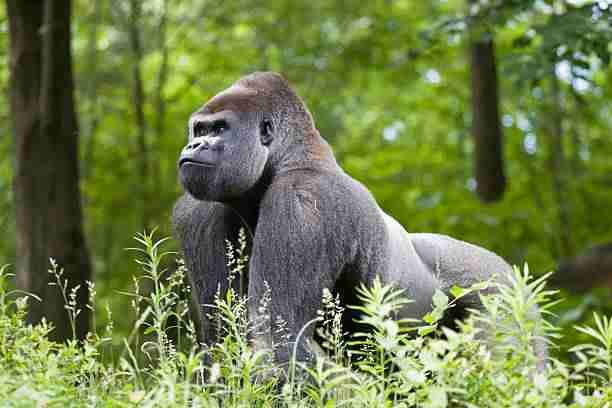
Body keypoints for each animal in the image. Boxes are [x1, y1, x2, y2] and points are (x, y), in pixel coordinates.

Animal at [171, 71, 544, 368]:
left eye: (220, 128)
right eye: (198, 129)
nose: (195, 145)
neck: (288, 157)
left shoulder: (303, 201)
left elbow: (280, 341)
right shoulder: (199, 214)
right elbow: (224, 341)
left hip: (501, 289)